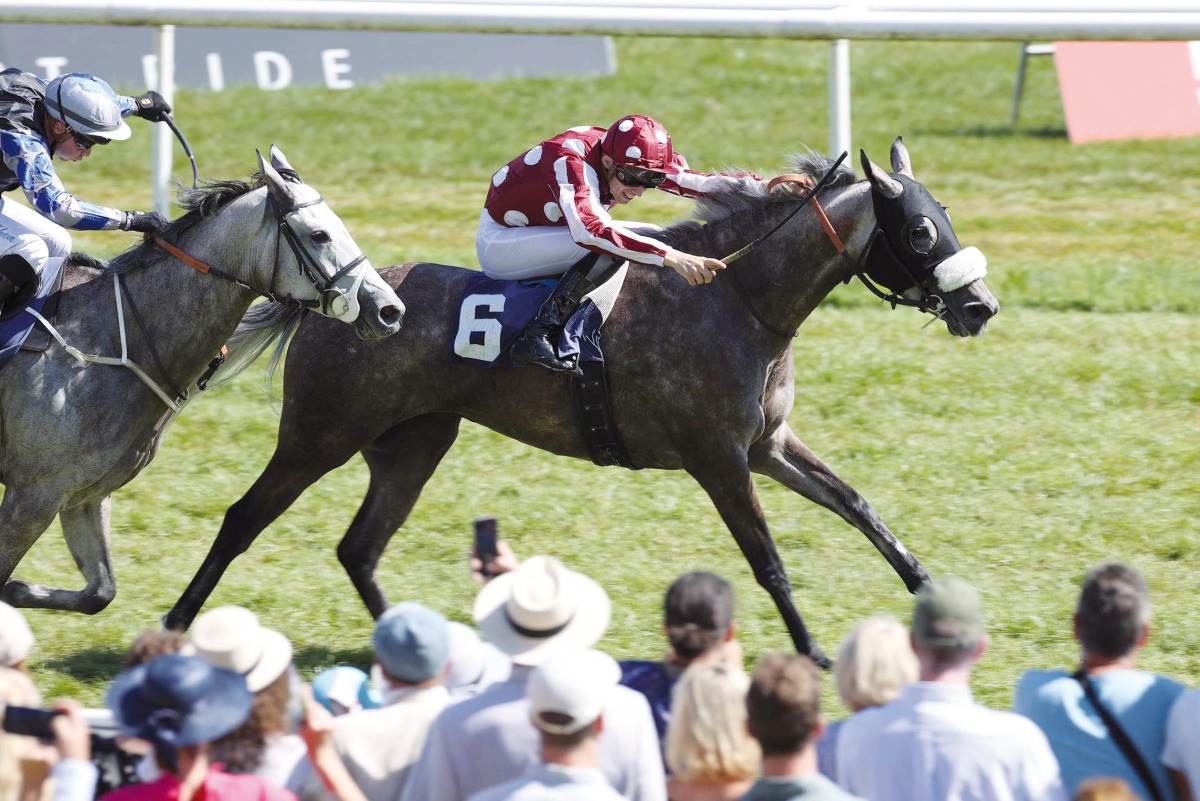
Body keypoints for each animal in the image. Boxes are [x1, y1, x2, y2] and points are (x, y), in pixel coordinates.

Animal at [0, 148, 405, 613]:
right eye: (319, 234)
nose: (390, 310)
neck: (112, 339)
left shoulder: (83, 495)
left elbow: (99, 593)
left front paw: (18, 591)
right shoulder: (33, 494)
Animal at [166, 140, 993, 666]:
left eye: (948, 212)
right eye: (920, 229)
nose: (980, 306)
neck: (740, 296)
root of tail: (337, 303)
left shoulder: (769, 445)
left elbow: (858, 505)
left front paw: (931, 592)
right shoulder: (719, 457)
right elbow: (768, 559)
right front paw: (814, 650)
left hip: (415, 442)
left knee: (359, 547)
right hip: (320, 435)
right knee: (243, 519)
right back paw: (175, 625)